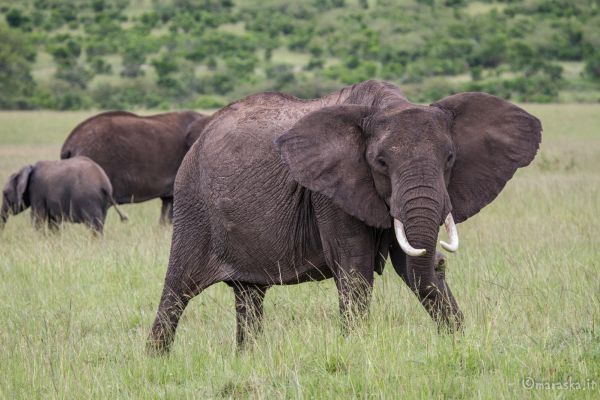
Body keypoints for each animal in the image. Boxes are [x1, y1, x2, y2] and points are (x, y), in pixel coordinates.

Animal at [148, 79, 540, 354]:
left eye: (450, 158)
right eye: (381, 163)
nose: (443, 261)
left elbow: (410, 267)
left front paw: (458, 342)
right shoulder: (330, 194)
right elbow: (355, 273)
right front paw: (356, 350)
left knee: (249, 295)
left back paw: (248, 359)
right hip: (193, 204)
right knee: (177, 291)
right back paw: (157, 363)